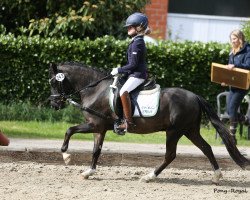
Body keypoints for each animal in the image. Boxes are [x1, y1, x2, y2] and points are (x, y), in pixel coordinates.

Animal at [48, 61, 250, 184]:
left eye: (54, 83)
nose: (54, 104)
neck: (96, 90)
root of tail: (195, 96)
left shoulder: (95, 125)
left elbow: (69, 130)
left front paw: (66, 156)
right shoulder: (100, 128)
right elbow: (96, 150)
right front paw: (88, 172)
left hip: (174, 131)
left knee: (171, 155)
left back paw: (149, 176)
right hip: (190, 130)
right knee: (206, 148)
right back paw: (216, 176)